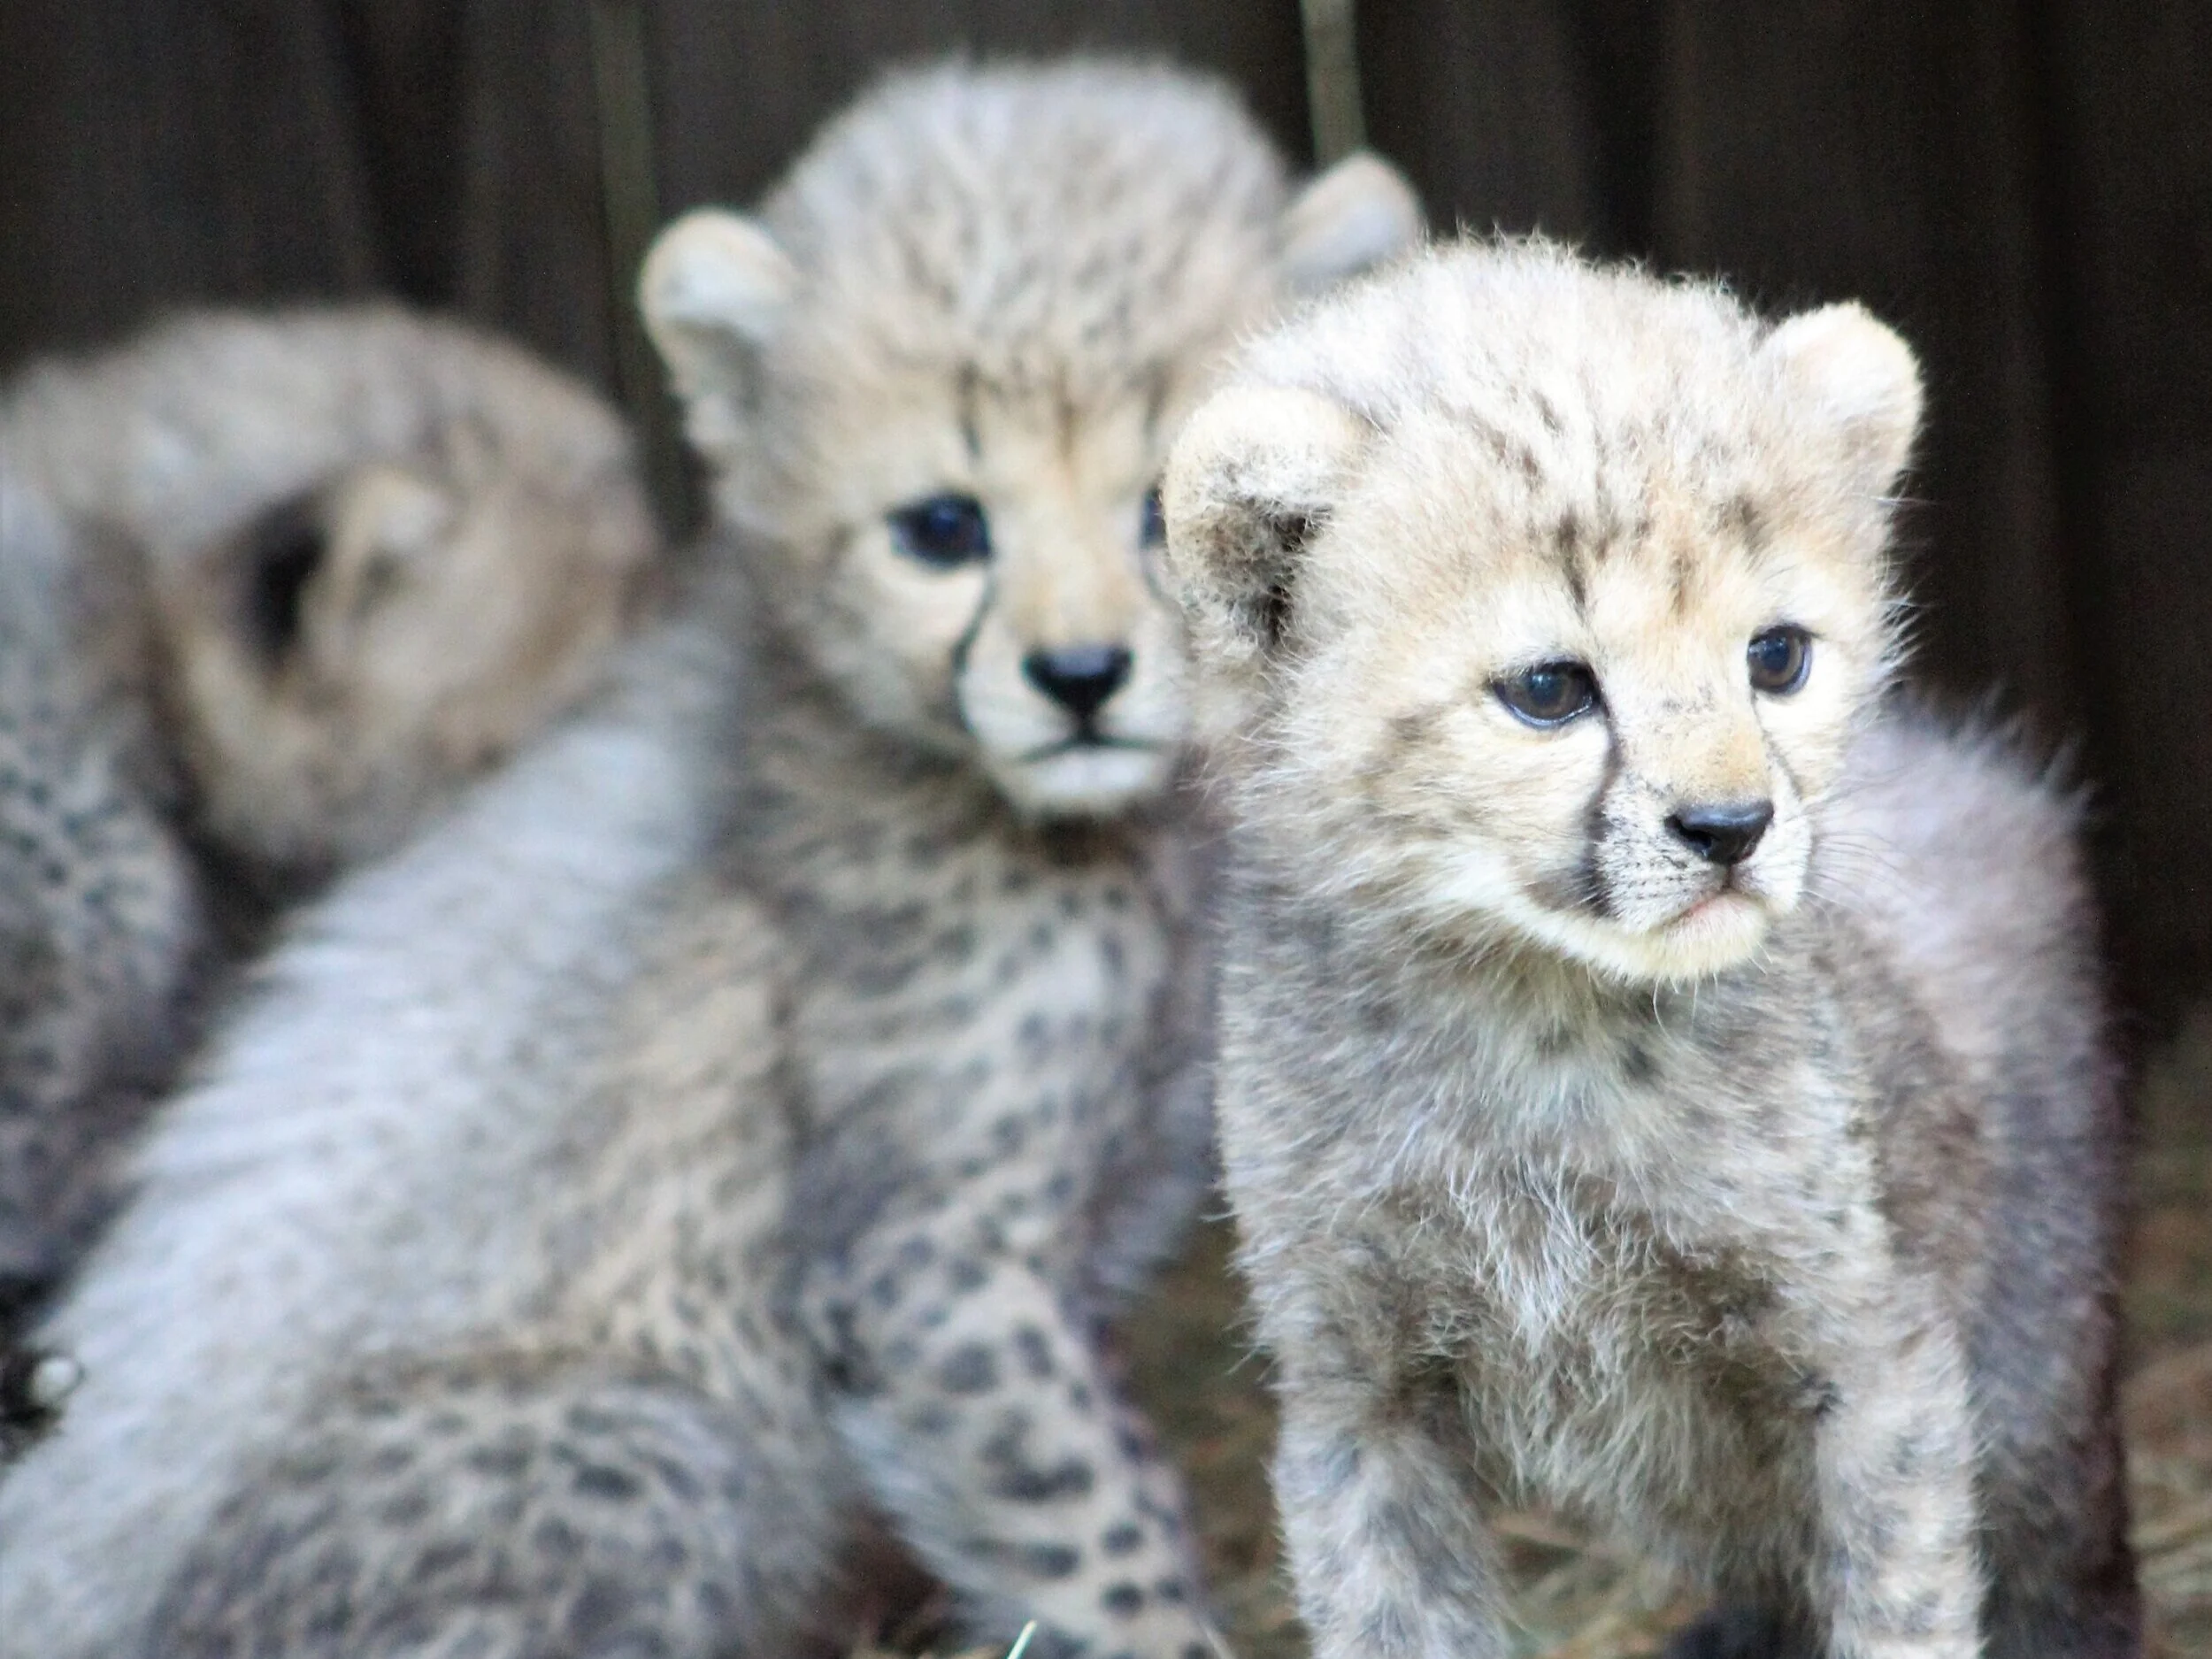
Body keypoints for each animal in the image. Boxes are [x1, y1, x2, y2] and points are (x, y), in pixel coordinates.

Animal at [0, 59, 1420, 1659]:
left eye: (1162, 509)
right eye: (944, 528)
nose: (1079, 678)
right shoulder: (928, 1265)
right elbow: (1092, 1540)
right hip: (646, 1441)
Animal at [1160, 237, 2138, 1659]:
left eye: (1774, 656)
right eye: (1550, 689)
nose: (1730, 829)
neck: (1540, 1023)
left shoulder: (1873, 1358)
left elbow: (1899, 1601)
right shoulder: (1359, 1399)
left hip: (2037, 1352)